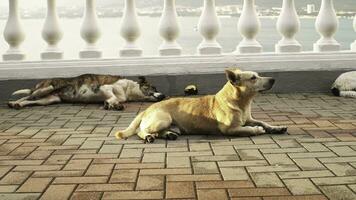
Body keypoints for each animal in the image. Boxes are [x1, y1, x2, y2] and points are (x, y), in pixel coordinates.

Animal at [115, 68, 288, 143]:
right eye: (253, 78)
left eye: (257, 75)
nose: (273, 79)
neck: (243, 103)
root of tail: (145, 110)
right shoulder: (230, 129)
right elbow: (249, 129)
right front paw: (257, 130)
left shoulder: (249, 118)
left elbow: (263, 122)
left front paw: (276, 127)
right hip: (163, 119)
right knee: (141, 130)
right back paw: (149, 136)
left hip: (170, 124)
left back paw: (169, 134)